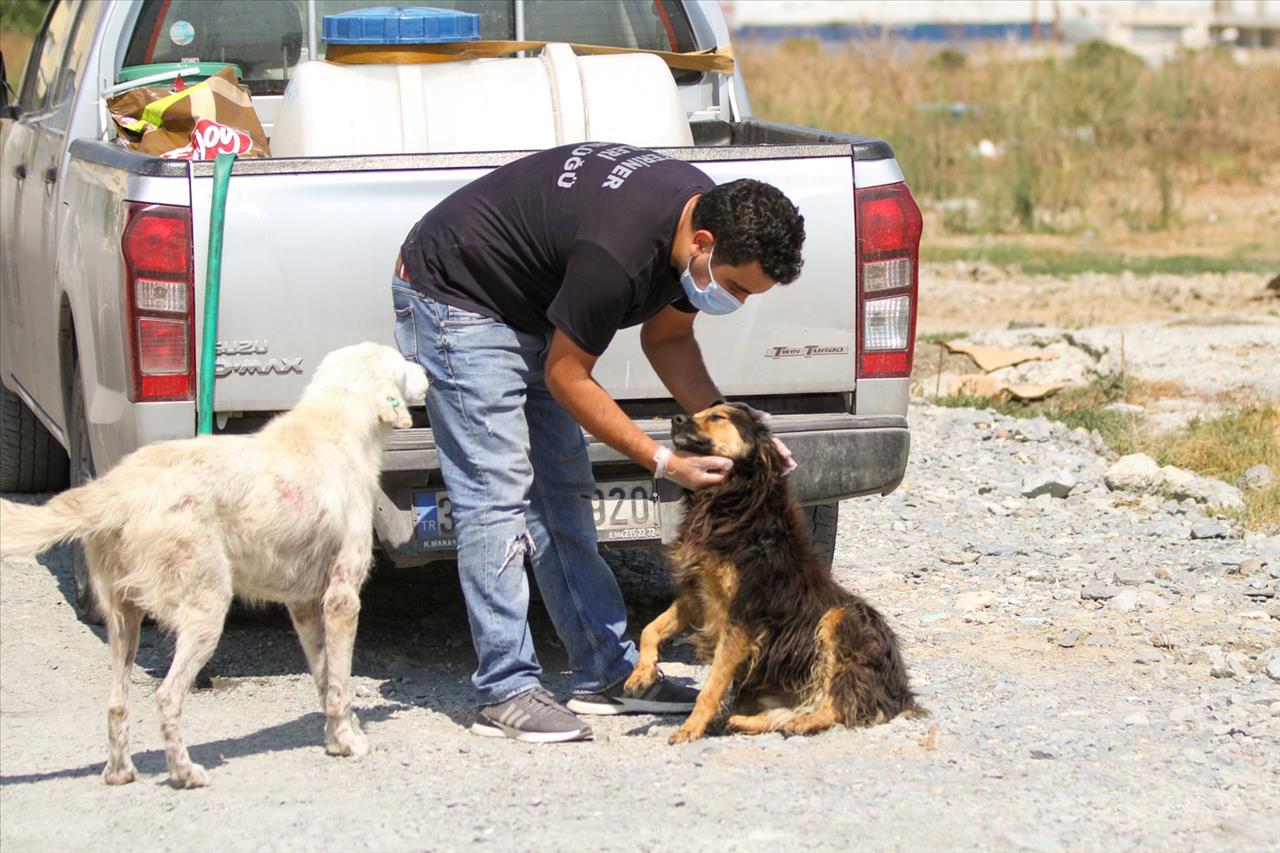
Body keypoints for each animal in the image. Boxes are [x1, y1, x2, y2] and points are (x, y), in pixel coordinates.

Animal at [0, 338, 430, 783]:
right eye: (402, 363)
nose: (428, 373)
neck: (333, 422)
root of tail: (121, 484)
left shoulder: (304, 605)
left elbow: (325, 679)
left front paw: (337, 737)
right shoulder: (341, 599)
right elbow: (340, 686)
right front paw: (348, 742)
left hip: (123, 621)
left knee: (116, 703)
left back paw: (120, 772)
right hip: (205, 612)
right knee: (167, 696)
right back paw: (184, 773)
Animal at [622, 402, 916, 742]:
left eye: (717, 417)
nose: (675, 418)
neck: (731, 504)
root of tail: (898, 689)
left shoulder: (743, 616)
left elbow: (711, 686)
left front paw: (692, 727)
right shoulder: (698, 596)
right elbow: (650, 629)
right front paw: (641, 673)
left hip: (841, 618)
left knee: (838, 703)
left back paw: (801, 723)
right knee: (793, 709)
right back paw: (745, 721)